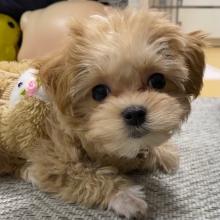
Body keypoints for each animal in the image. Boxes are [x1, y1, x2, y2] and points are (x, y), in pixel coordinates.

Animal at [0, 8, 206, 218]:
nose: (134, 113)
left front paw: (164, 153)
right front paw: (125, 196)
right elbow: (82, 175)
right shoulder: (53, 159)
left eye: (157, 81)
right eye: (99, 92)